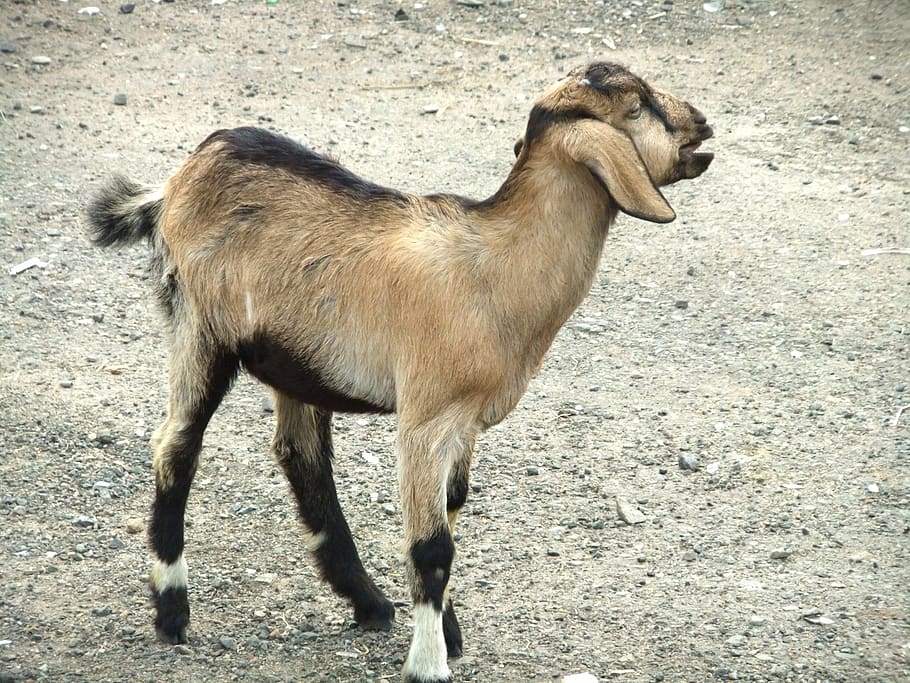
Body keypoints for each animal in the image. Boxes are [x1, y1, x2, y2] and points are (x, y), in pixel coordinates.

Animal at [87, 62, 713, 683]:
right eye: (635, 106)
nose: (703, 126)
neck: (495, 269)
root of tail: (180, 178)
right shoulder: (425, 418)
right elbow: (432, 548)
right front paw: (429, 663)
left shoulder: (466, 422)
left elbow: (451, 511)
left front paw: (448, 633)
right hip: (200, 328)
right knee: (177, 445)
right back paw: (172, 610)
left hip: (296, 361)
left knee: (301, 457)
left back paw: (367, 602)